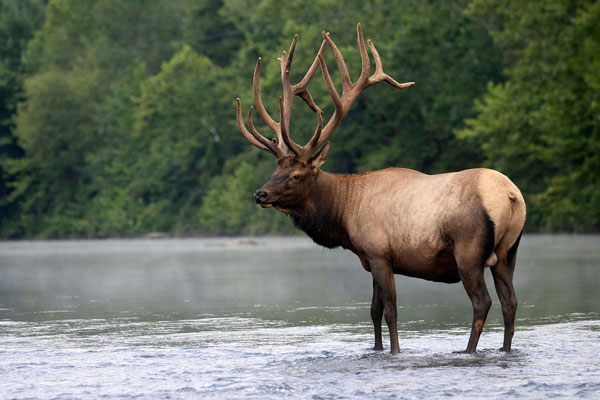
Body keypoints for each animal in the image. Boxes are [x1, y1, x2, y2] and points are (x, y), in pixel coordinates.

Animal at [234, 23, 524, 354]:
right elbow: (373, 311)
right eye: (275, 170)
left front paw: (396, 351)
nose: (260, 194)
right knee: (510, 302)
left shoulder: (379, 252)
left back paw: (468, 350)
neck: (344, 212)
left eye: (296, 175)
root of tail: (511, 195)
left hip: (469, 250)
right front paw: (376, 349)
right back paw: (504, 349)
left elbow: (390, 311)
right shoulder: (370, 257)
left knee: (482, 302)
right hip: (508, 251)